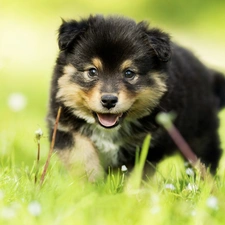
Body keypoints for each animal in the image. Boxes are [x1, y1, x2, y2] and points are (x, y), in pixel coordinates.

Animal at [46, 14, 224, 181]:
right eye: (92, 71)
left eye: (129, 73)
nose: (109, 100)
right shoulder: (63, 125)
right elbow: (81, 155)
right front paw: (90, 184)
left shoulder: (148, 142)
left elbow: (135, 175)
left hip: (200, 137)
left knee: (204, 162)